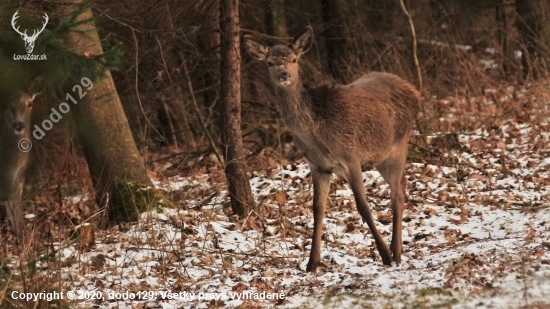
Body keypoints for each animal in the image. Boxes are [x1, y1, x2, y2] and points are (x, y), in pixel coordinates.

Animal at [244, 27, 420, 272]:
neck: (316, 135)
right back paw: (398, 249)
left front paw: (383, 254)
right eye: (269, 62)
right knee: (402, 184)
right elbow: (317, 209)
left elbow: (363, 206)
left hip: (399, 143)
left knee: (397, 194)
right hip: (381, 156)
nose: (283, 75)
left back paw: (395, 252)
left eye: (294, 59)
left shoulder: (351, 156)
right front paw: (312, 262)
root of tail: (415, 92)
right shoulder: (318, 166)